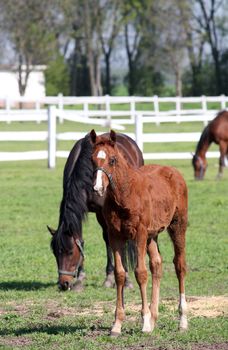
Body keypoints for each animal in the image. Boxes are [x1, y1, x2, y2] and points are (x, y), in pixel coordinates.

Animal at [47, 131, 143, 290]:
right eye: (55, 253)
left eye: (70, 252)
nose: (63, 284)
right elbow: (82, 239)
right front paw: (80, 279)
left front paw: (125, 280)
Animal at [90, 129, 188, 336]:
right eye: (92, 159)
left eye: (112, 159)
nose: (98, 188)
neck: (125, 195)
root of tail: (173, 171)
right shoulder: (115, 235)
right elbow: (120, 274)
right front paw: (117, 325)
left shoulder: (140, 234)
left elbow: (140, 273)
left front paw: (144, 322)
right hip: (152, 235)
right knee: (157, 265)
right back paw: (154, 317)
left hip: (177, 225)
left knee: (180, 265)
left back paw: (182, 320)